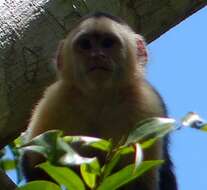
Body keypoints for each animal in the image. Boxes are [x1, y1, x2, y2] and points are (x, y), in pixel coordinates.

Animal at [21, 12, 176, 190]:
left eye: (108, 43)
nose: (96, 55)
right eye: (85, 45)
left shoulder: (147, 104)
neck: (100, 98)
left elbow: (141, 178)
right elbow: (36, 162)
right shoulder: (56, 99)